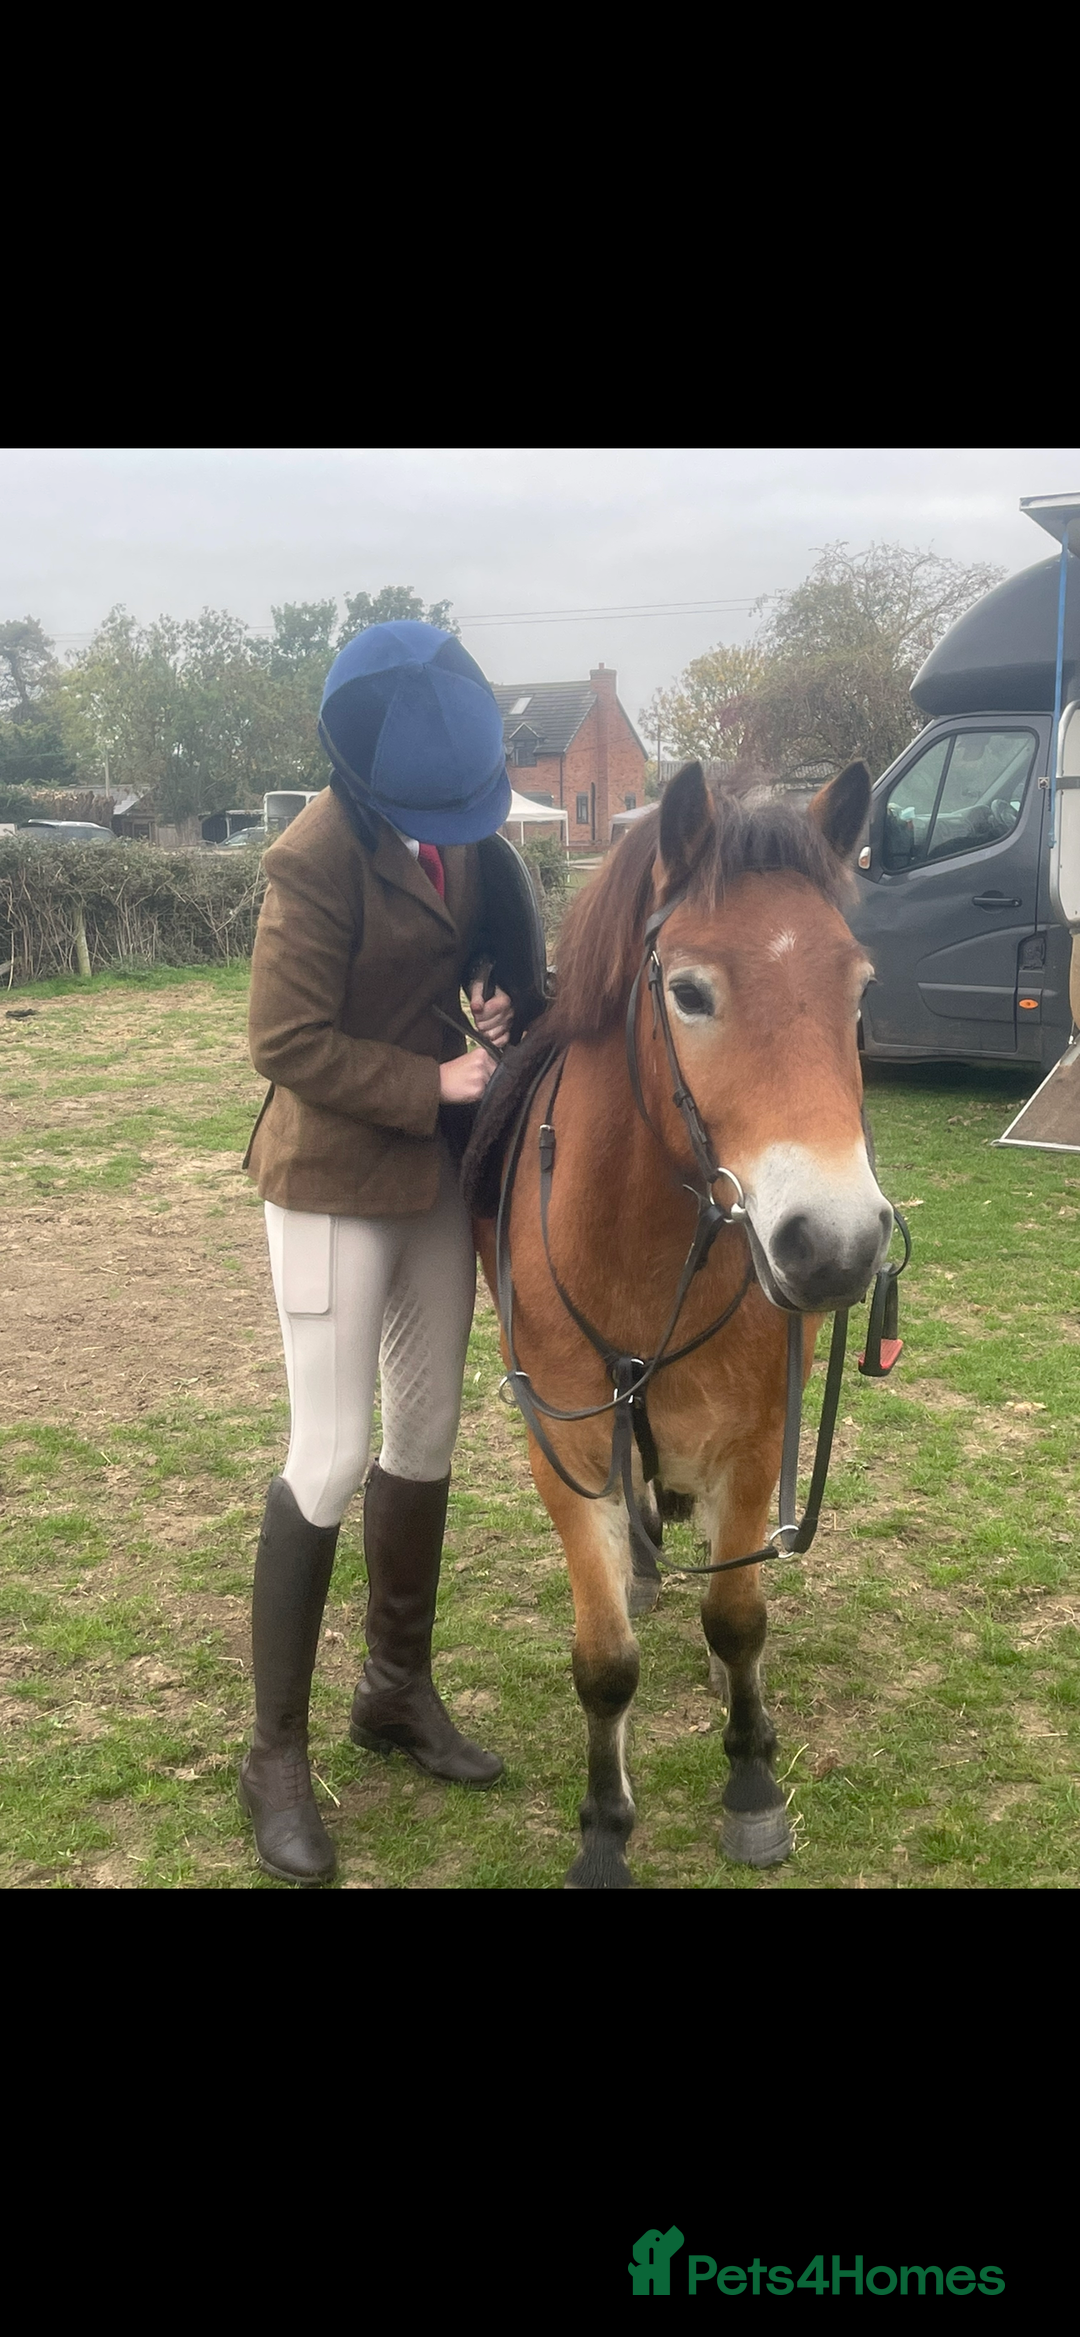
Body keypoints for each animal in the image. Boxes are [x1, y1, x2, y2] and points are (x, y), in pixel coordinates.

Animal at [464, 759, 893, 1890]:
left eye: (860, 989)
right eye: (691, 992)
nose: (835, 1243)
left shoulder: (755, 1439)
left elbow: (739, 1617)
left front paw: (750, 1783)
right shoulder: (562, 1451)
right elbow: (604, 1661)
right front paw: (605, 1826)